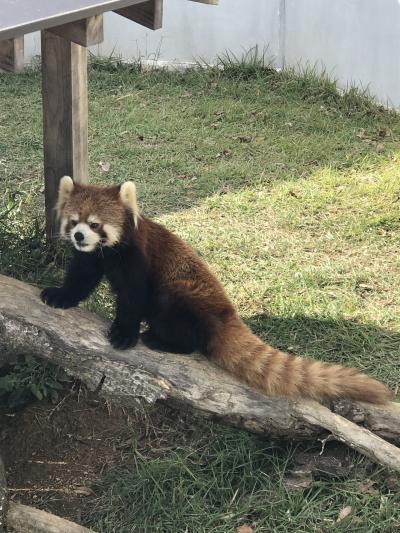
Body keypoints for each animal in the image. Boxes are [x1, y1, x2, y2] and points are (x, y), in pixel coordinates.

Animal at [41, 176, 390, 404]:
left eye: (96, 224)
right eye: (74, 221)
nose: (80, 237)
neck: (108, 253)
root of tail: (227, 315)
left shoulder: (136, 258)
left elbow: (133, 297)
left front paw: (124, 333)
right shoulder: (92, 259)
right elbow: (80, 278)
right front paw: (60, 295)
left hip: (184, 297)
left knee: (180, 322)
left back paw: (161, 339)